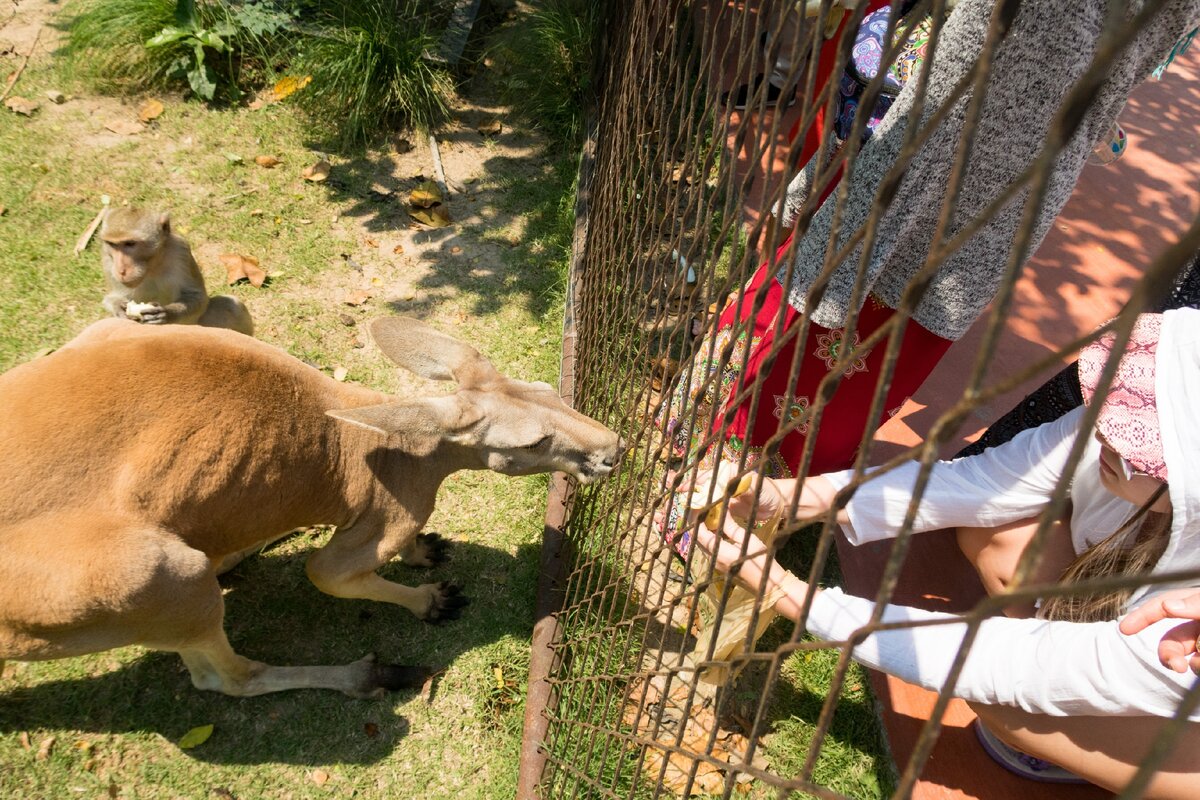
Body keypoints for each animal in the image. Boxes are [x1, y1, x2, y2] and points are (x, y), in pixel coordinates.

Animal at [0, 316, 619, 695]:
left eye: (550, 390)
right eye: (533, 444)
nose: (616, 449)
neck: (405, 450)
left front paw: (424, 553)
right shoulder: (382, 519)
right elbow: (328, 574)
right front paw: (429, 599)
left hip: (113, 330)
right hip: (143, 574)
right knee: (225, 677)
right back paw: (370, 674)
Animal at [99, 208, 255, 335]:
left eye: (130, 244)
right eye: (112, 244)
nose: (121, 270)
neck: (152, 265)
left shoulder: (181, 251)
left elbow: (197, 296)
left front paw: (168, 313)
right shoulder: (107, 262)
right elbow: (113, 297)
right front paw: (119, 307)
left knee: (231, 306)